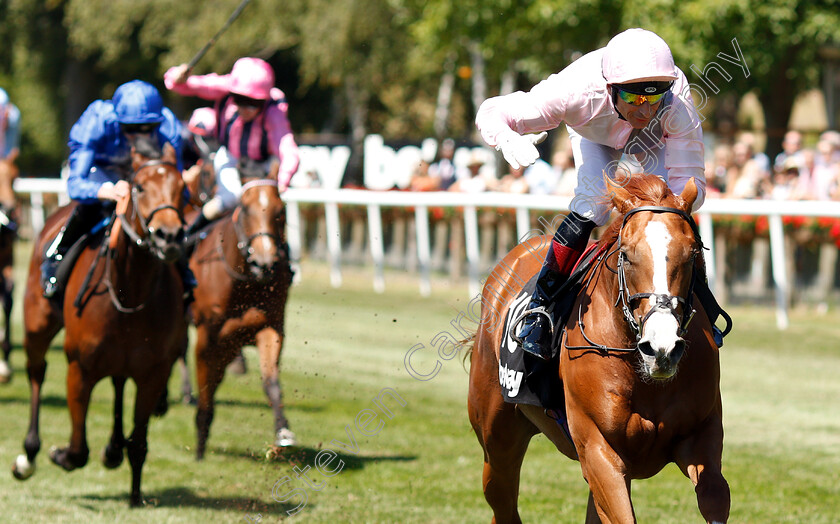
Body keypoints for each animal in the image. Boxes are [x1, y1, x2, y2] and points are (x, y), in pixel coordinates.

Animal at [13, 143, 187, 508]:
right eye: (140, 187)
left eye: (182, 189)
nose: (169, 236)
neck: (128, 291)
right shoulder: (80, 368)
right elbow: (78, 449)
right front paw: (60, 454)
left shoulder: (153, 373)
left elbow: (139, 443)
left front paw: (135, 496)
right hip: (37, 325)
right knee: (36, 372)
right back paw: (29, 454)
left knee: (119, 383)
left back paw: (113, 448)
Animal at [189, 176, 294, 458]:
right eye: (245, 209)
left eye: (281, 211)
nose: (265, 263)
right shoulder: (208, 333)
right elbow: (206, 381)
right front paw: (201, 434)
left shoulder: (271, 328)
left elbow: (271, 382)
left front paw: (282, 432)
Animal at [466, 176, 728, 524]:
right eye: (627, 255)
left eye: (692, 252)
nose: (662, 348)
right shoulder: (598, 449)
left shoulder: (700, 439)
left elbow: (714, 495)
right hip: (496, 439)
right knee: (502, 502)